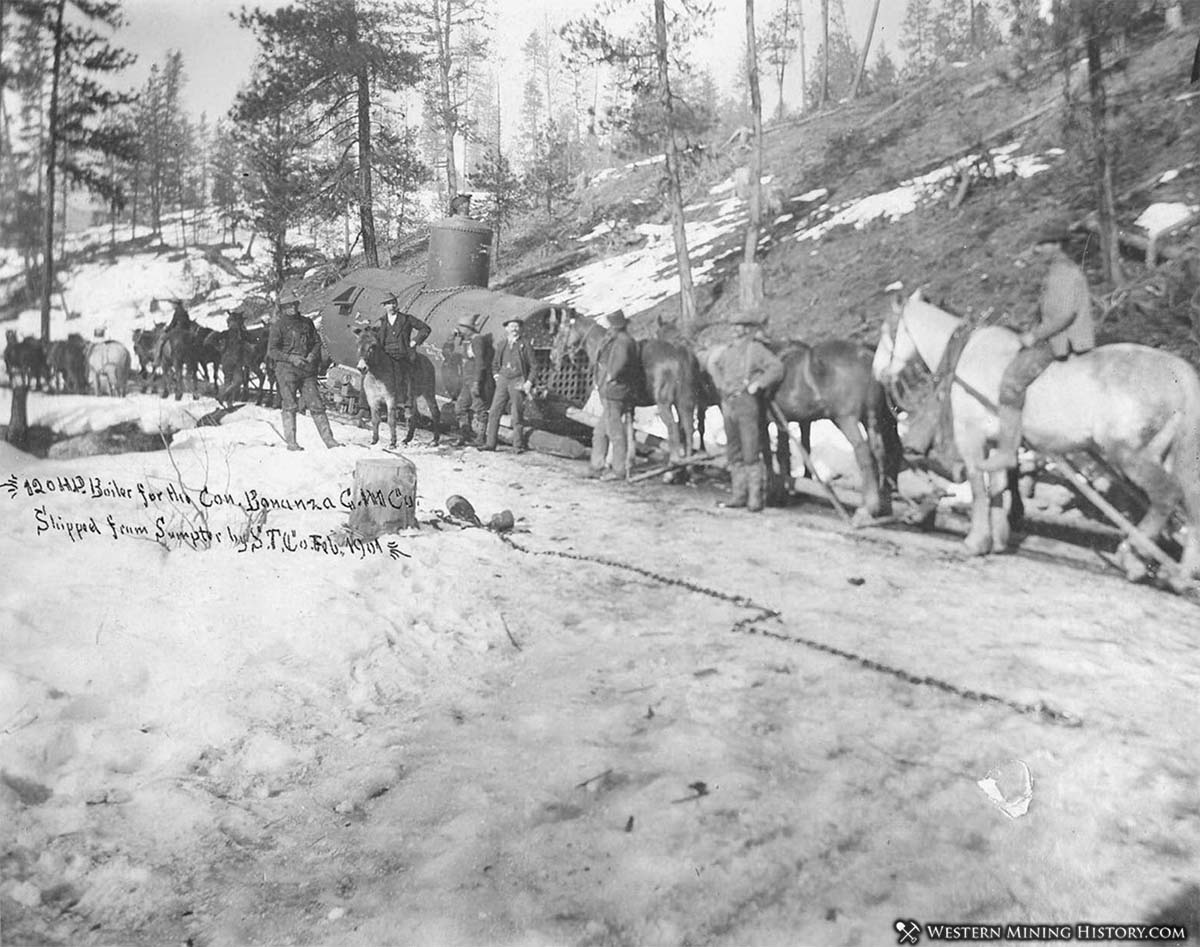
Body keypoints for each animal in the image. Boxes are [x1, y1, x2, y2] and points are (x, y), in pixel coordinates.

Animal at [549, 312, 705, 460]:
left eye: (562, 332)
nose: (552, 355)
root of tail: (680, 354)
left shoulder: (609, 403)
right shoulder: (628, 406)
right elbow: (628, 432)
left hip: (665, 404)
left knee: (674, 429)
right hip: (685, 404)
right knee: (688, 430)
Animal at [768, 338, 902, 520]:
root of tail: (868, 357)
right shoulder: (796, 420)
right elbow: (797, 449)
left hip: (847, 419)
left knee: (864, 452)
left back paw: (869, 507)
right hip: (871, 417)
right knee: (880, 451)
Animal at [873, 288, 1200, 583]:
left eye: (887, 329)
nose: (877, 371)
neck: (967, 353)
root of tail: (1181, 372)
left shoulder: (972, 437)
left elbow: (979, 487)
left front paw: (977, 541)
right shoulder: (997, 442)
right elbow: (999, 486)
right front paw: (998, 539)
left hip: (1130, 455)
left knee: (1166, 497)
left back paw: (1131, 556)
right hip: (1166, 456)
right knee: (1190, 504)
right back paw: (1179, 574)